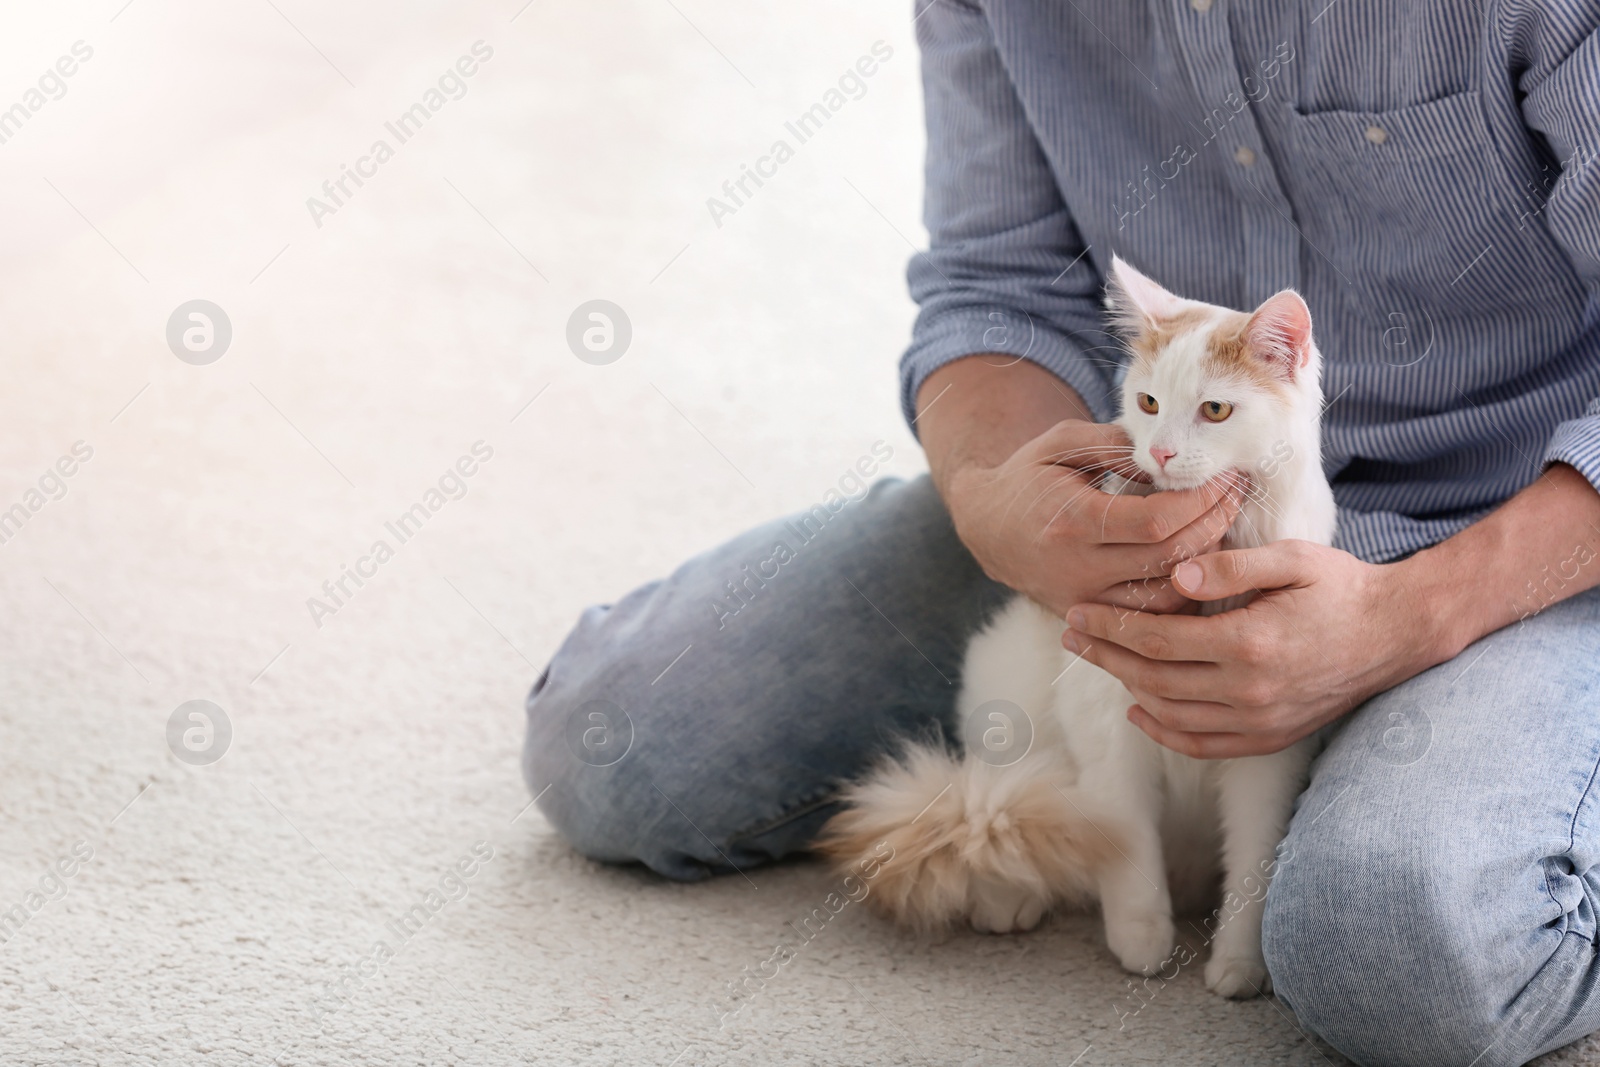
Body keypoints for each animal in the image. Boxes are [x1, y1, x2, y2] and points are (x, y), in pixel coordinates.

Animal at [825, 255, 1337, 1004]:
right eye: (1148, 403)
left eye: (1215, 410)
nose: (1162, 454)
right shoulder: (1106, 730)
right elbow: (1125, 849)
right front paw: (1142, 943)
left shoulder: (1267, 752)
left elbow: (1251, 872)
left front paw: (1239, 968)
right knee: (1006, 819)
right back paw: (1009, 897)